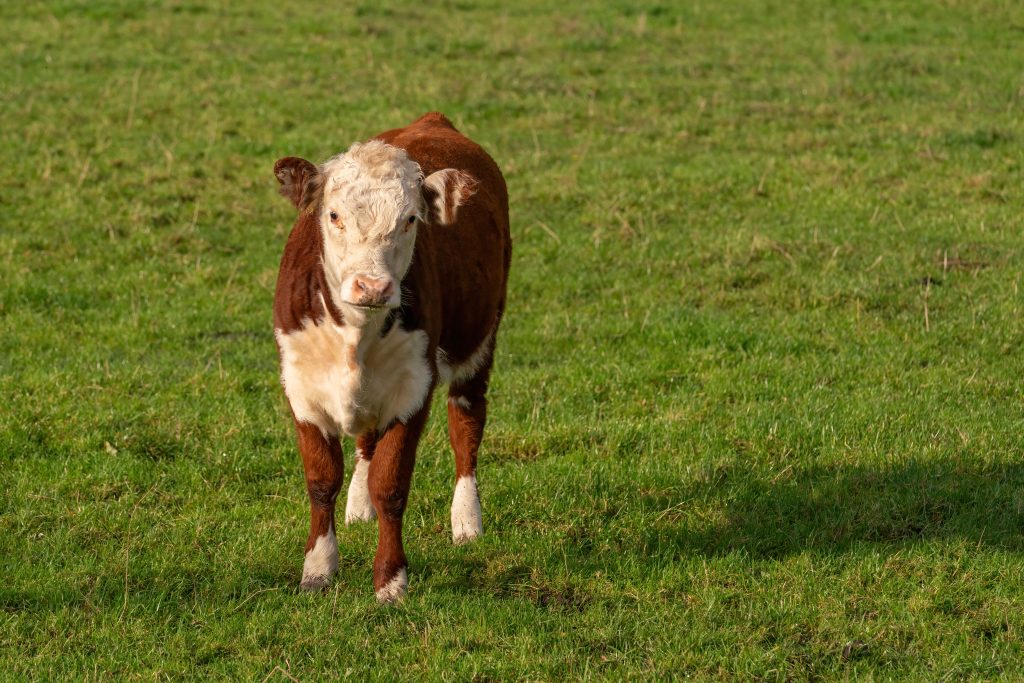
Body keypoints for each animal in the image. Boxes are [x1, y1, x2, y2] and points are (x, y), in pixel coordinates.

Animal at [272, 112, 512, 602]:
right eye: (334, 214)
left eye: (410, 219)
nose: (373, 287)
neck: (355, 337)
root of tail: (432, 120)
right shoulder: (302, 389)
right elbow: (321, 481)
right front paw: (318, 569)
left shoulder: (414, 387)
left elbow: (392, 484)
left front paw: (391, 580)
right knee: (366, 441)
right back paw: (359, 507)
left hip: (480, 339)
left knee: (466, 424)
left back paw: (467, 520)